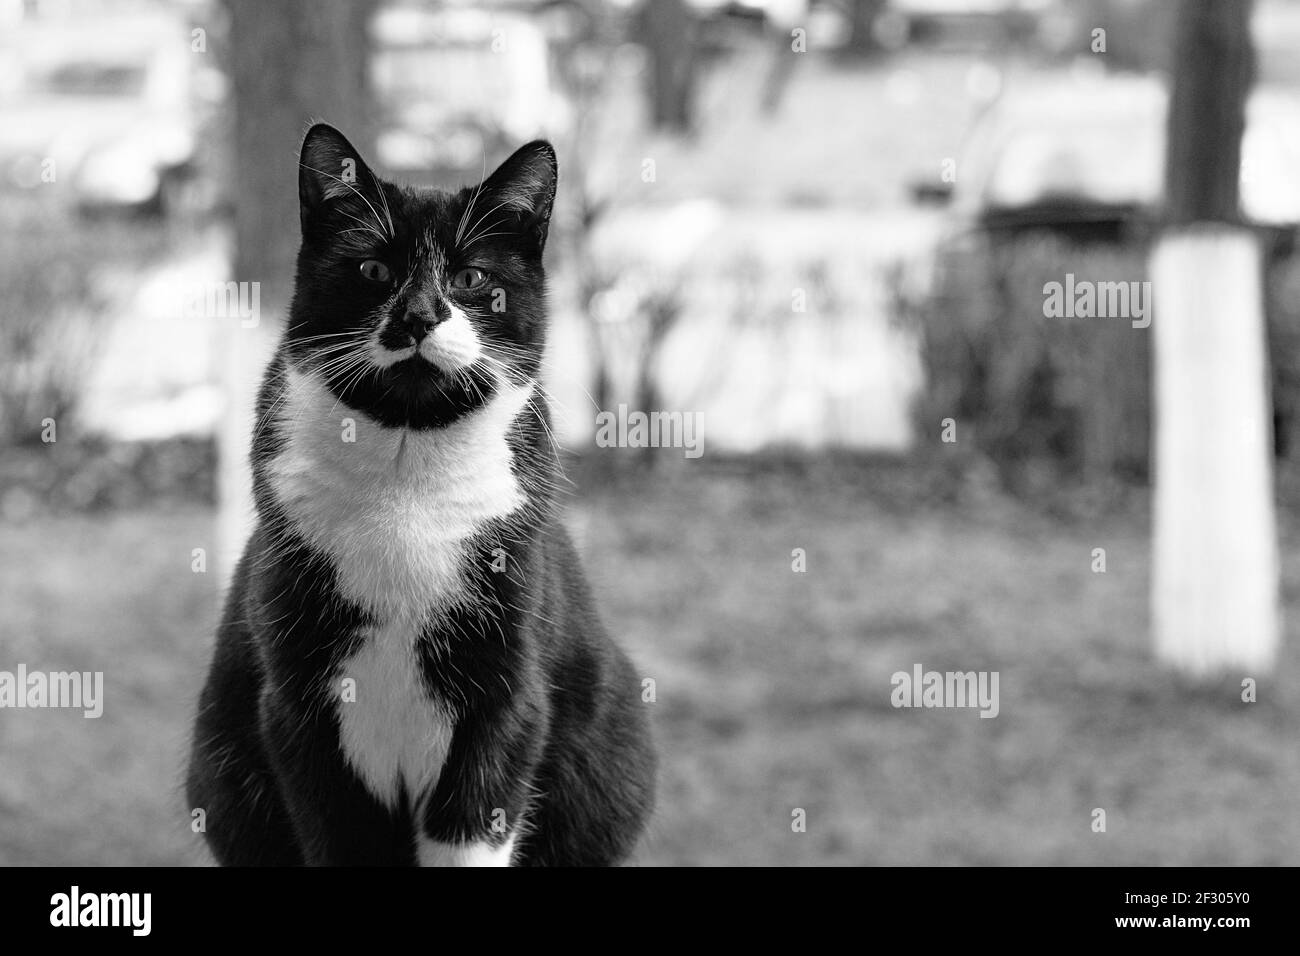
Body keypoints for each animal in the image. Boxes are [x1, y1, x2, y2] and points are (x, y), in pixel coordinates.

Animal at [188, 125, 655, 868]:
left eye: (470, 278)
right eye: (375, 271)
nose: (418, 313)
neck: (406, 470)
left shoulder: (508, 693)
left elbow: (475, 822)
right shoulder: (293, 704)